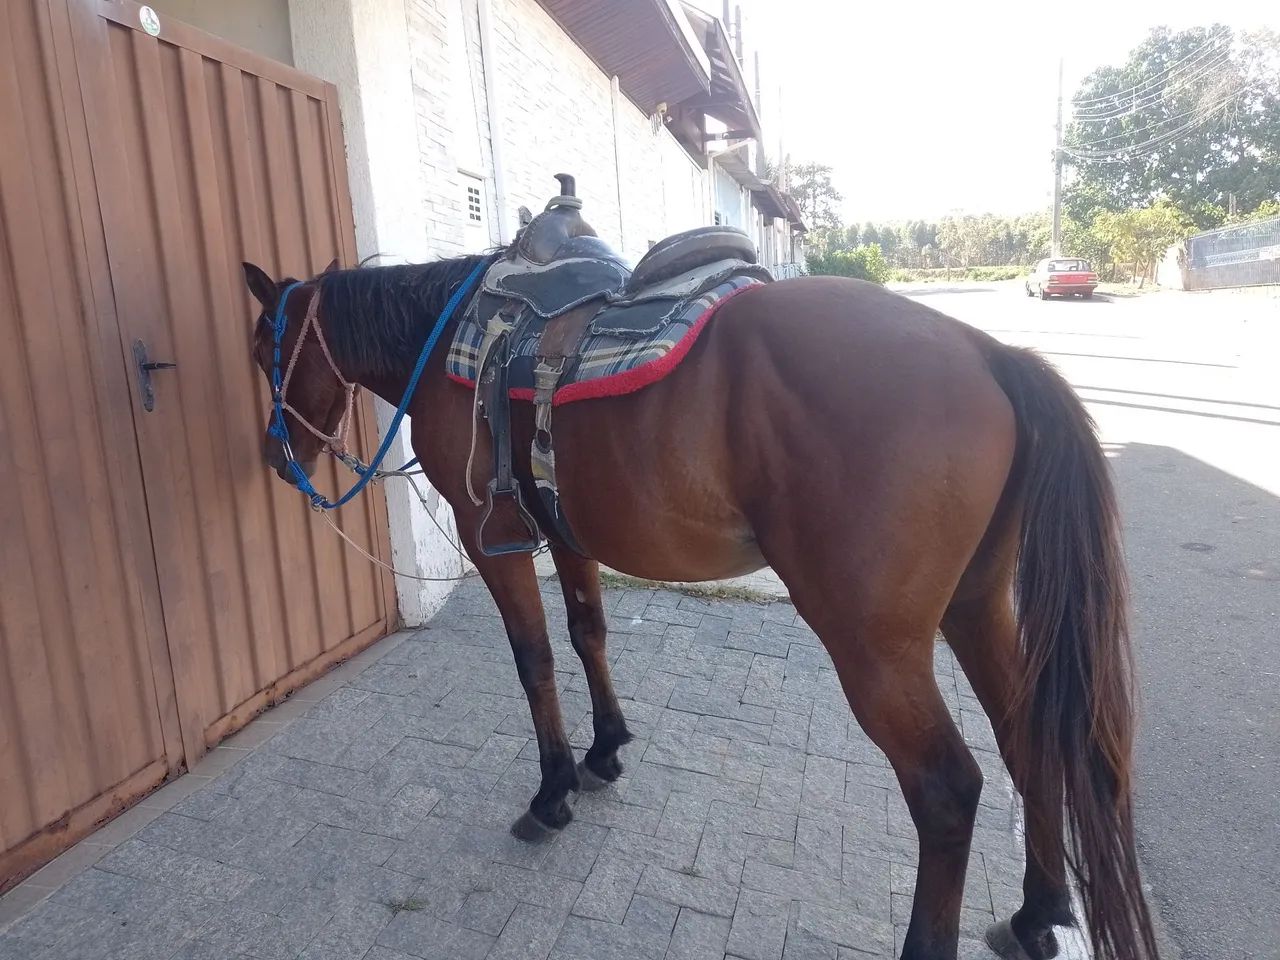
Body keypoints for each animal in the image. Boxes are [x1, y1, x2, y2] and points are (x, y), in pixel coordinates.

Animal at [241, 253, 1159, 960]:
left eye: (262, 350)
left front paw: (552, 792)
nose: (274, 459)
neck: (451, 344)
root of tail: (987, 352)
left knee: (947, 789)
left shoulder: (491, 538)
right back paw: (1036, 915)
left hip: (875, 646)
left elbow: (535, 658)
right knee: (1031, 739)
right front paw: (605, 750)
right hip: (976, 608)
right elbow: (588, 633)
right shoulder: (565, 533)